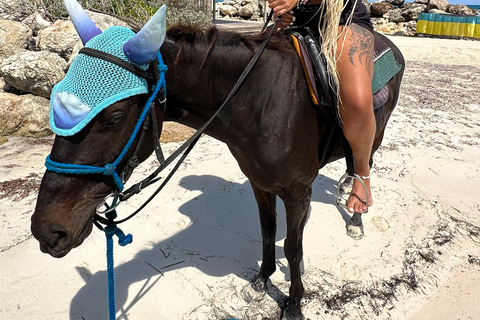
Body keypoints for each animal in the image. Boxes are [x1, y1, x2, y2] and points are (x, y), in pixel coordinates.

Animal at [30, 3, 404, 320]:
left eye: (114, 117)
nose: (47, 231)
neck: (263, 100)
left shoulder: (299, 193)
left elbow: (293, 248)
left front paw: (294, 304)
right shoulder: (260, 184)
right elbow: (268, 233)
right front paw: (262, 282)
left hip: (373, 126)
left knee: (363, 162)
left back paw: (356, 214)